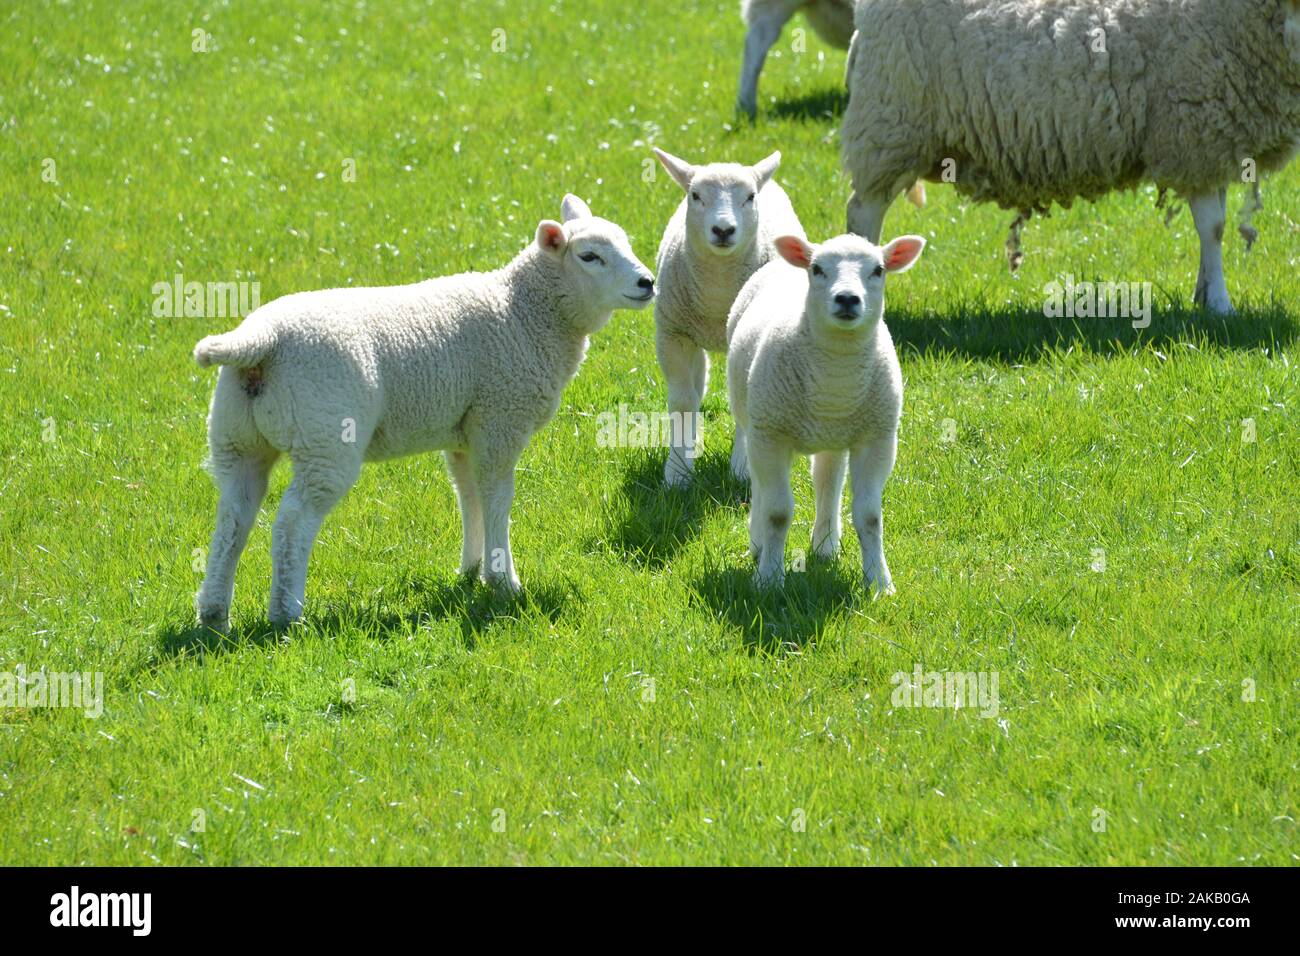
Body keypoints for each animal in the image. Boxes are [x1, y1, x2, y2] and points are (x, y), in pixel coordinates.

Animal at [188, 195, 655, 632]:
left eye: (626, 243)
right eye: (589, 257)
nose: (647, 282)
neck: (524, 313)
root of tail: (261, 340)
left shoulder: (466, 431)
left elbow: (469, 496)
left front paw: (470, 572)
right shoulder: (500, 421)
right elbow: (498, 499)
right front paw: (504, 583)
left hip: (236, 437)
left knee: (232, 520)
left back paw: (214, 616)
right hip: (326, 438)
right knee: (291, 524)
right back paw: (286, 616)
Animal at [655, 145, 806, 489]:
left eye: (749, 197)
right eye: (696, 195)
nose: (723, 230)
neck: (718, 293)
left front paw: (743, 470)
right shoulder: (672, 335)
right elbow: (682, 401)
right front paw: (677, 472)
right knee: (697, 387)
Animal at [728, 230, 930, 590]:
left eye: (878, 270)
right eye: (818, 269)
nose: (848, 299)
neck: (836, 376)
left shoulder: (878, 438)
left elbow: (870, 515)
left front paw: (879, 582)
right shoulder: (771, 435)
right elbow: (777, 512)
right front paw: (769, 578)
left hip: (834, 435)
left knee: (827, 478)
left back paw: (825, 545)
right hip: (756, 424)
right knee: (761, 486)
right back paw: (759, 544)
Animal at [837, 0, 1300, 314]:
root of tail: (864, 20)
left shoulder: (1213, 145)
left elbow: (1212, 228)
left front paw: (1205, 296)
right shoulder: (1193, 129)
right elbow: (1213, 227)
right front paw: (1221, 305)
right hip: (891, 127)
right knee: (863, 212)